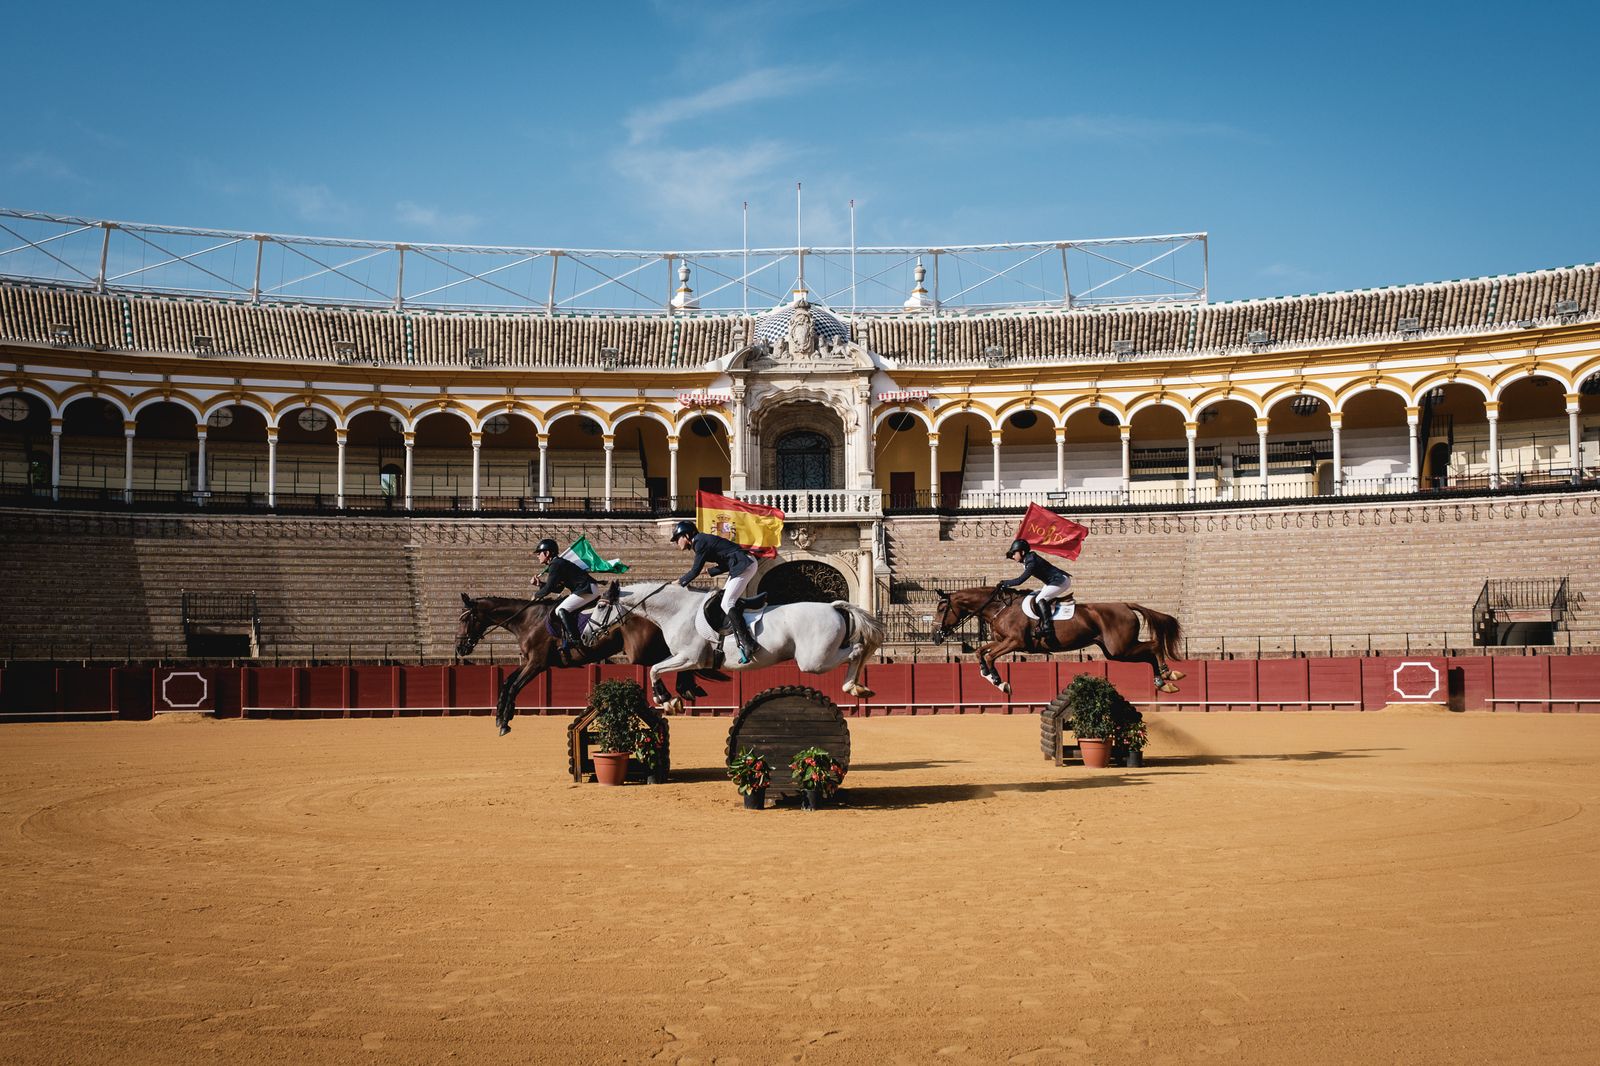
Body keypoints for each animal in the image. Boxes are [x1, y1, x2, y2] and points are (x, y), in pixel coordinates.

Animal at [454, 592, 714, 736]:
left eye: (465, 619)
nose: (459, 649)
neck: (526, 620)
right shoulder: (529, 662)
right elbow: (507, 683)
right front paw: (500, 717)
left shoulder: (537, 664)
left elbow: (514, 686)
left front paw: (504, 723)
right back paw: (685, 689)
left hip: (641, 652)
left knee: (675, 658)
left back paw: (681, 691)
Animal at [588, 580, 887, 711]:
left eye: (601, 606)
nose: (586, 634)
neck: (678, 610)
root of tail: (833, 606)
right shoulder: (690, 659)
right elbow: (666, 672)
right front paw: (680, 695)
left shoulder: (689, 656)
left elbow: (653, 670)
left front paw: (665, 699)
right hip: (816, 659)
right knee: (858, 650)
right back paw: (857, 687)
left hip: (814, 661)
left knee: (857, 650)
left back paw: (854, 687)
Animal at [930, 585, 1185, 694]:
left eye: (942, 608)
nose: (935, 636)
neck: (999, 608)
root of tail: (1125, 604)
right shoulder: (1003, 641)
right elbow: (980, 652)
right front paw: (988, 675)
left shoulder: (1014, 643)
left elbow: (990, 655)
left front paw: (1000, 682)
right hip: (1115, 652)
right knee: (1149, 653)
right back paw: (1163, 682)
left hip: (1120, 648)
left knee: (1153, 646)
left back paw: (1168, 674)